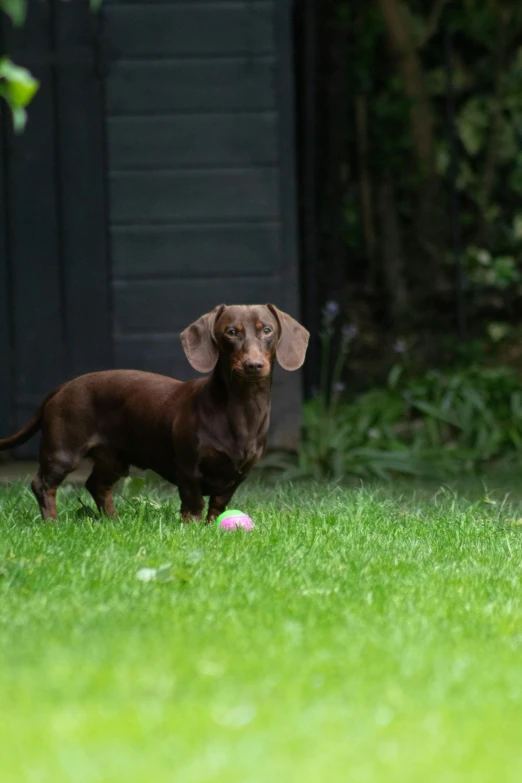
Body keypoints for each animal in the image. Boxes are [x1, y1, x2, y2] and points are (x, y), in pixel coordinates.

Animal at [0, 304, 308, 520]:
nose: (254, 365)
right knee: (42, 485)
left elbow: (217, 506)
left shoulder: (238, 476)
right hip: (62, 451)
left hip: (114, 458)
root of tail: (63, 386)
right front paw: (192, 527)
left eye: (267, 330)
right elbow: (194, 504)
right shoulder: (188, 468)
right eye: (231, 332)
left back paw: (113, 521)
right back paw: (52, 523)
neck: (242, 409)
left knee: (96, 485)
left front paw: (212, 526)